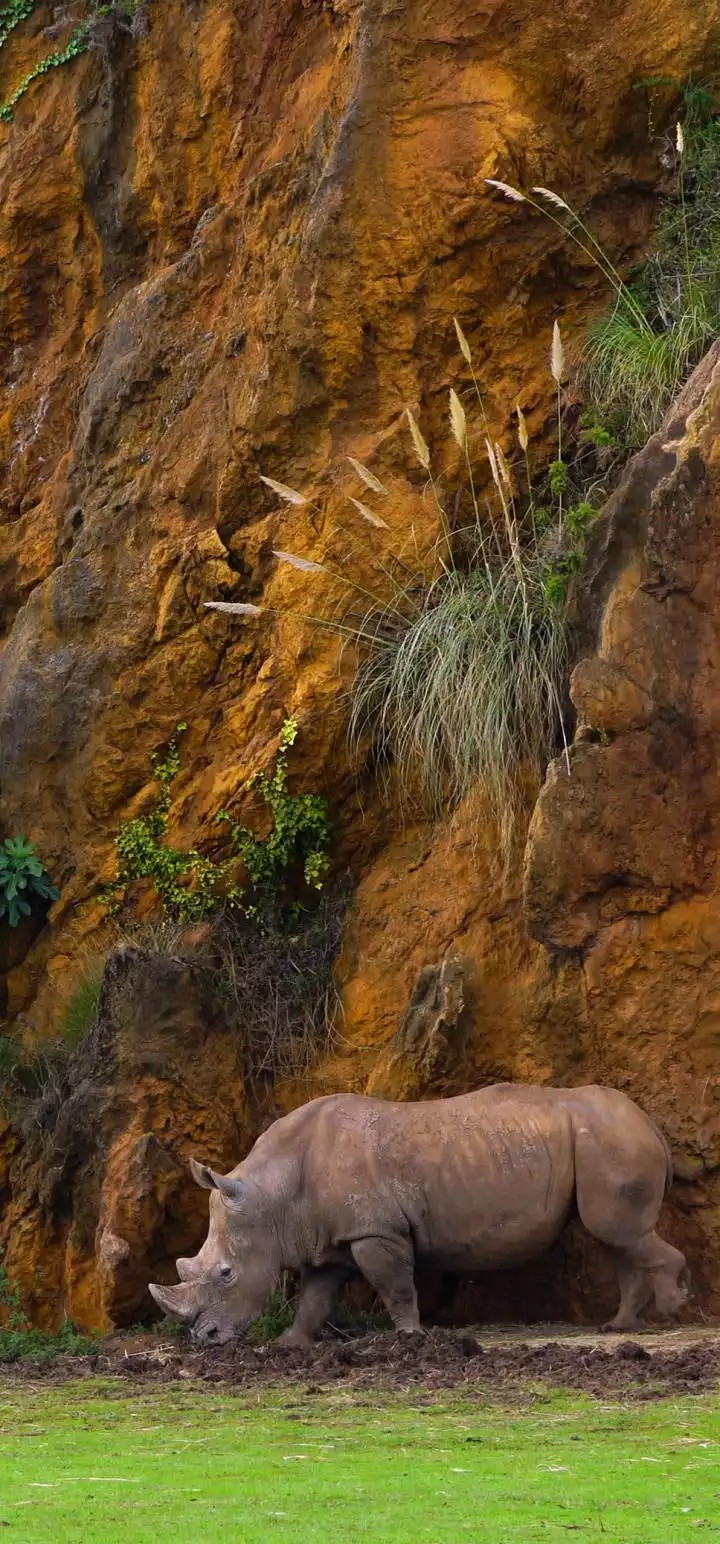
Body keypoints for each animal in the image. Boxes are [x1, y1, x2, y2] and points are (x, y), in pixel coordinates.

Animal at [149, 1084, 689, 1347]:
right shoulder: (334, 1237)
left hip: (608, 1139)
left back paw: (672, 1307)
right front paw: (289, 1344)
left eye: (226, 1274)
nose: (203, 1339)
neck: (272, 1198)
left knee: (617, 1231)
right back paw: (619, 1328)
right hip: (602, 1139)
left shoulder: (376, 1232)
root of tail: (650, 1124)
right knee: (616, 1238)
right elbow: (315, 1296)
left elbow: (395, 1285)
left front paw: (411, 1338)